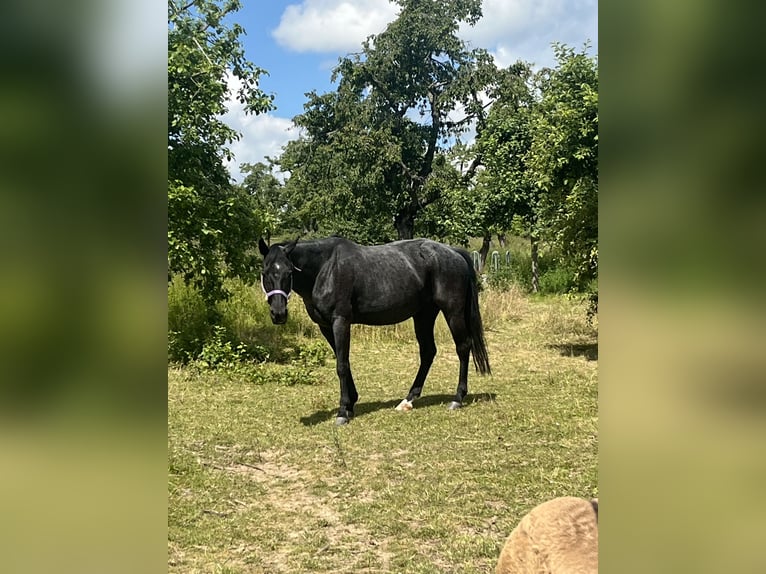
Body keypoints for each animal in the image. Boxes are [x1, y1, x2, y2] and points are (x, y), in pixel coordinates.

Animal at [258, 235, 492, 428]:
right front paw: (350, 404)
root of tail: (454, 252)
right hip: (424, 315)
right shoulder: (325, 326)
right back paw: (408, 400)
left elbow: (341, 365)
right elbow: (344, 361)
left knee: (463, 347)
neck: (325, 268)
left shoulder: (340, 322)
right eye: (265, 272)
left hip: (452, 312)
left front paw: (342, 412)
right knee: (428, 352)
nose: (278, 313)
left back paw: (457, 399)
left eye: (289, 272)